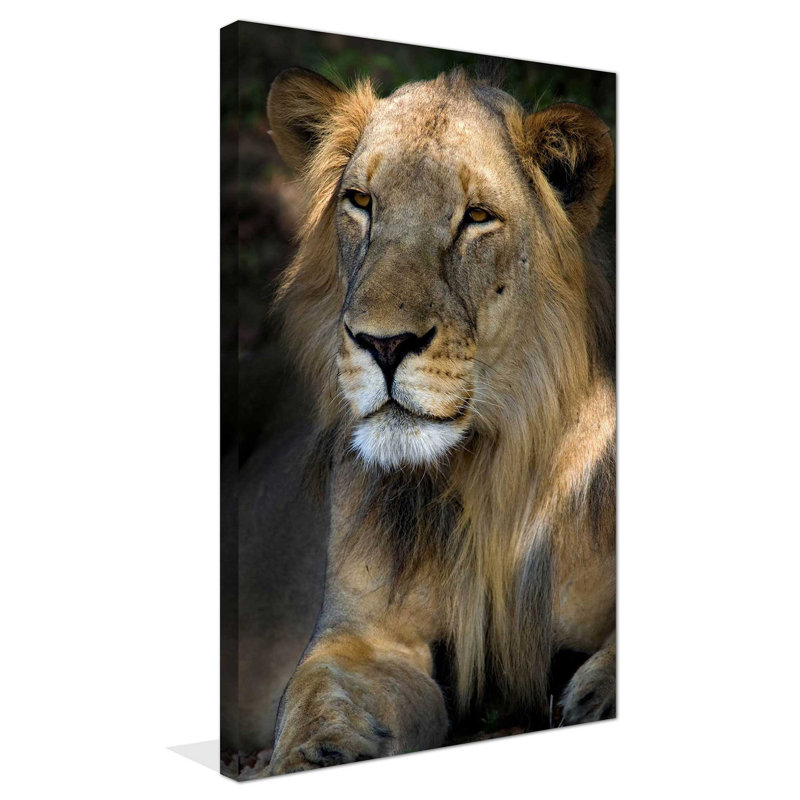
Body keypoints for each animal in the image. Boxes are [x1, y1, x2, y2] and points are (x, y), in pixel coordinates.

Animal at [263, 67, 615, 775]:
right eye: (361, 202)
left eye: (476, 217)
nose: (384, 344)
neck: (488, 470)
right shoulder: (365, 638)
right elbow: (319, 695)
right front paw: (312, 757)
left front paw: (597, 691)